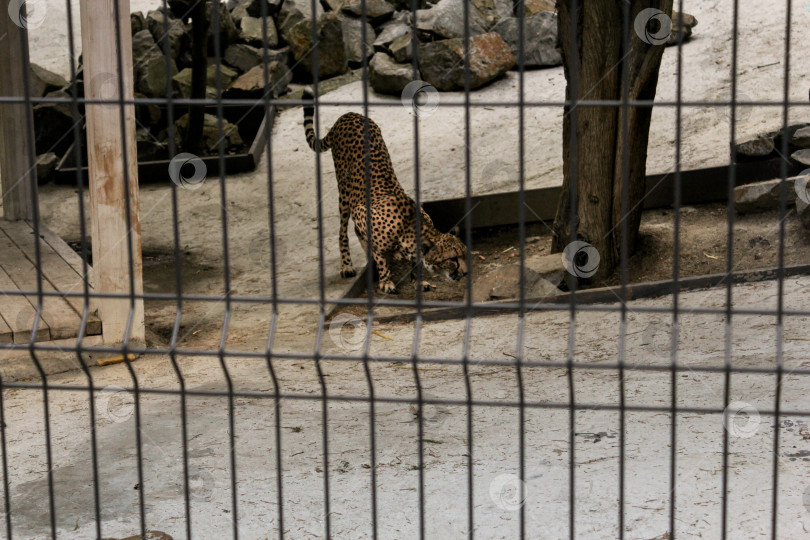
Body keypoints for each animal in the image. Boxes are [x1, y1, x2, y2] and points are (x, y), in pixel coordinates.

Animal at [304, 87, 468, 296]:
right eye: (453, 259)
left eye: (464, 254)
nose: (465, 273)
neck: (408, 229)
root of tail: (348, 114)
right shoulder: (361, 213)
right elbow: (380, 255)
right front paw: (386, 281)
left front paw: (418, 281)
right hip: (345, 195)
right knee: (343, 232)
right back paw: (348, 265)